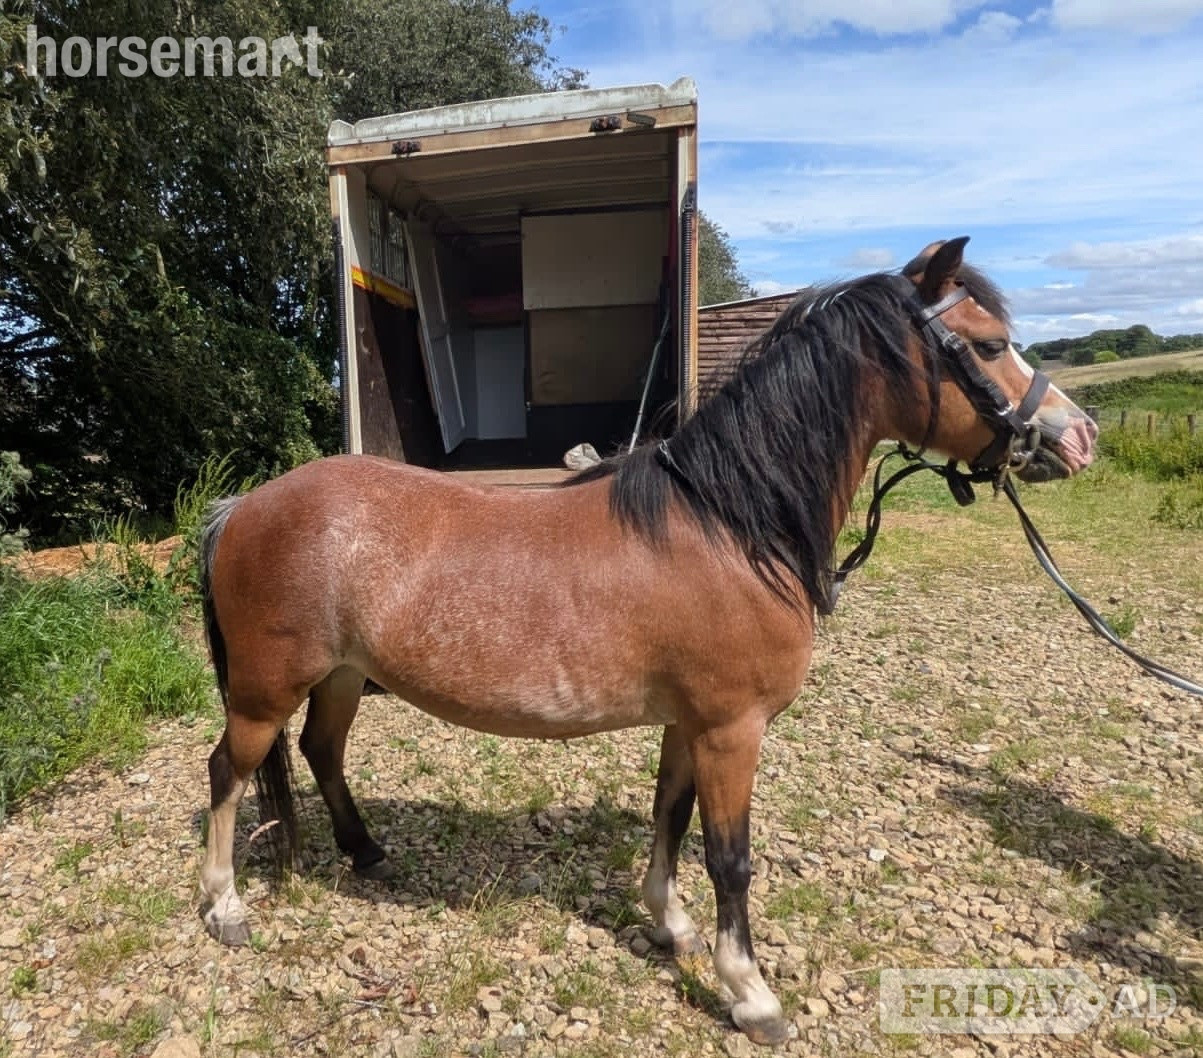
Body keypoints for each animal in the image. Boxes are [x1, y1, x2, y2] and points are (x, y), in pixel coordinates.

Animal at [196, 237, 1098, 1046]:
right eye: (987, 344)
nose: (1078, 436)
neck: (730, 524)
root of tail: (242, 506)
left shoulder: (688, 724)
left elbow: (669, 815)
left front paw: (670, 925)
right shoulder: (733, 730)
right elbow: (729, 857)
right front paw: (751, 995)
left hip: (341, 677)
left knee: (321, 751)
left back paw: (365, 852)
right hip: (266, 689)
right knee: (228, 773)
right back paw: (226, 907)